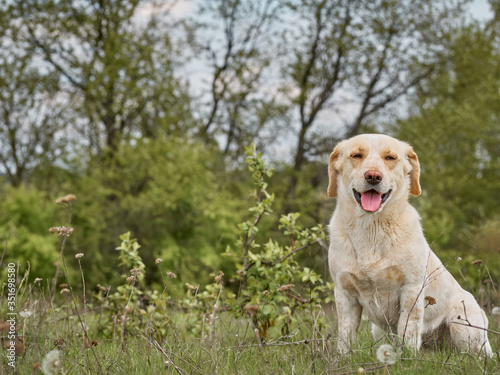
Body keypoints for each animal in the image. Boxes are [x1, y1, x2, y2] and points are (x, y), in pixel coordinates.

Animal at [328, 134, 492, 356]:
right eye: (356, 155)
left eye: (390, 157)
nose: (373, 176)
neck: (371, 228)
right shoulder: (344, 292)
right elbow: (345, 336)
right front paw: (343, 358)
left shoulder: (411, 289)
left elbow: (408, 331)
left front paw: (407, 359)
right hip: (376, 330)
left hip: (464, 330)